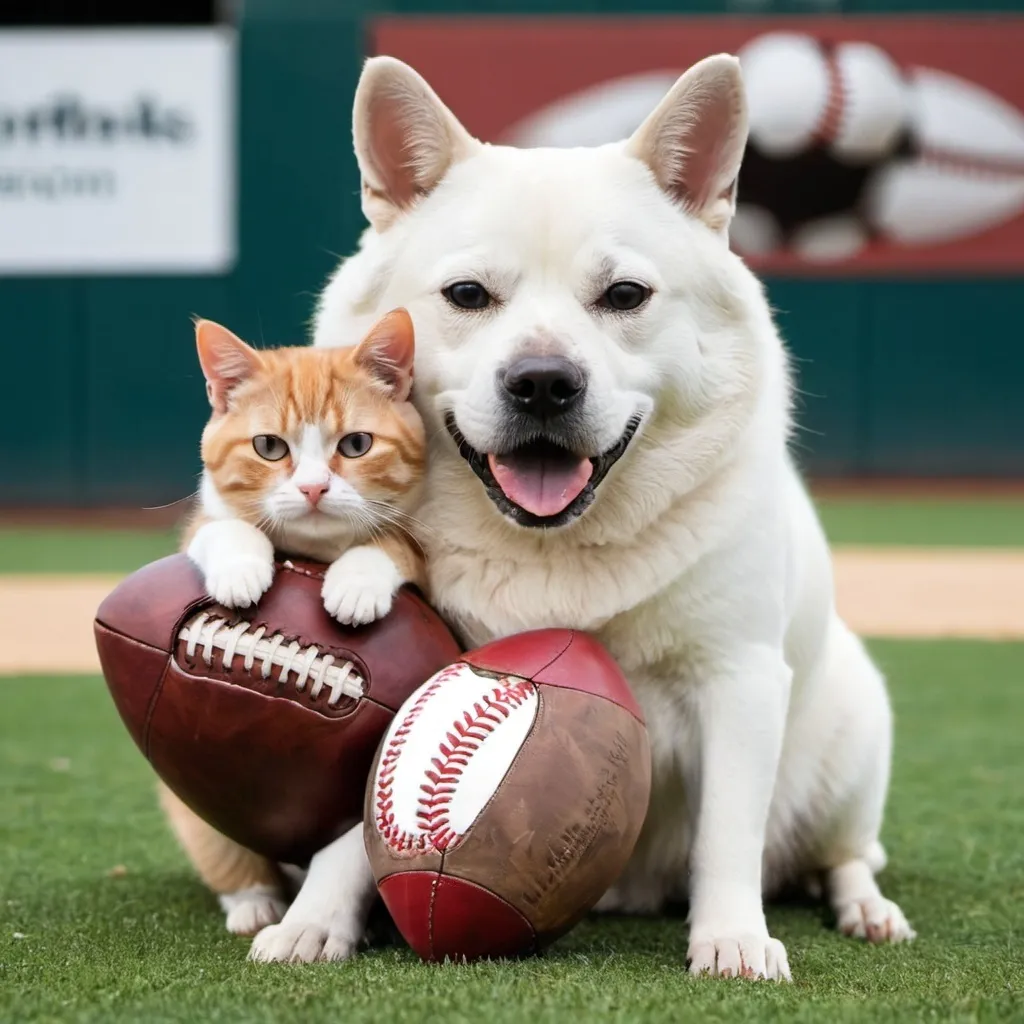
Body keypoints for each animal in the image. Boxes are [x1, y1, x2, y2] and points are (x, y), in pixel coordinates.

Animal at [161, 307, 425, 954]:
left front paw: (356, 583)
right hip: (200, 820)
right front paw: (240, 569)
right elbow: (224, 528)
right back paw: (253, 904)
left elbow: (391, 542)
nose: (312, 488)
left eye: (356, 445)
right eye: (267, 446)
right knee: (233, 862)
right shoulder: (200, 527)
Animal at [251, 51, 917, 978]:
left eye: (625, 294)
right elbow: (352, 825)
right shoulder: (408, 667)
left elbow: (729, 832)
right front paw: (318, 919)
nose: (542, 383)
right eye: (467, 294)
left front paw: (733, 940)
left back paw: (866, 909)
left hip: (852, 740)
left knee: (843, 855)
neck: (553, 548)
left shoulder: (739, 676)